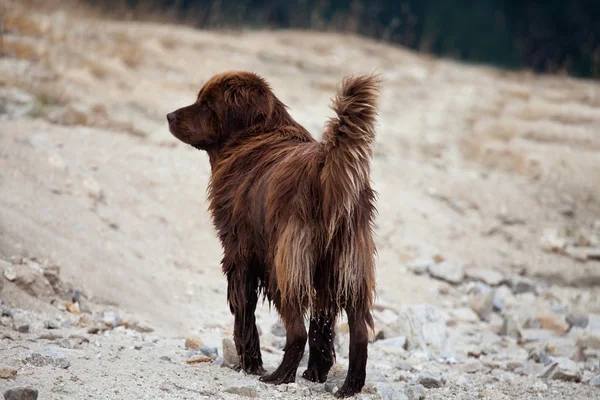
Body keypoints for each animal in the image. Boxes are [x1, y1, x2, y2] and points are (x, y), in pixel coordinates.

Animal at [166, 72, 378, 396]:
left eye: (206, 105)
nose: (169, 116)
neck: (254, 135)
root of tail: (324, 172)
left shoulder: (239, 255)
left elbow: (244, 313)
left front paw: (249, 363)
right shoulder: (323, 278)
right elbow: (323, 325)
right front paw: (317, 373)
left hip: (284, 270)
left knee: (296, 330)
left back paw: (278, 376)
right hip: (347, 270)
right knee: (359, 334)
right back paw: (349, 387)